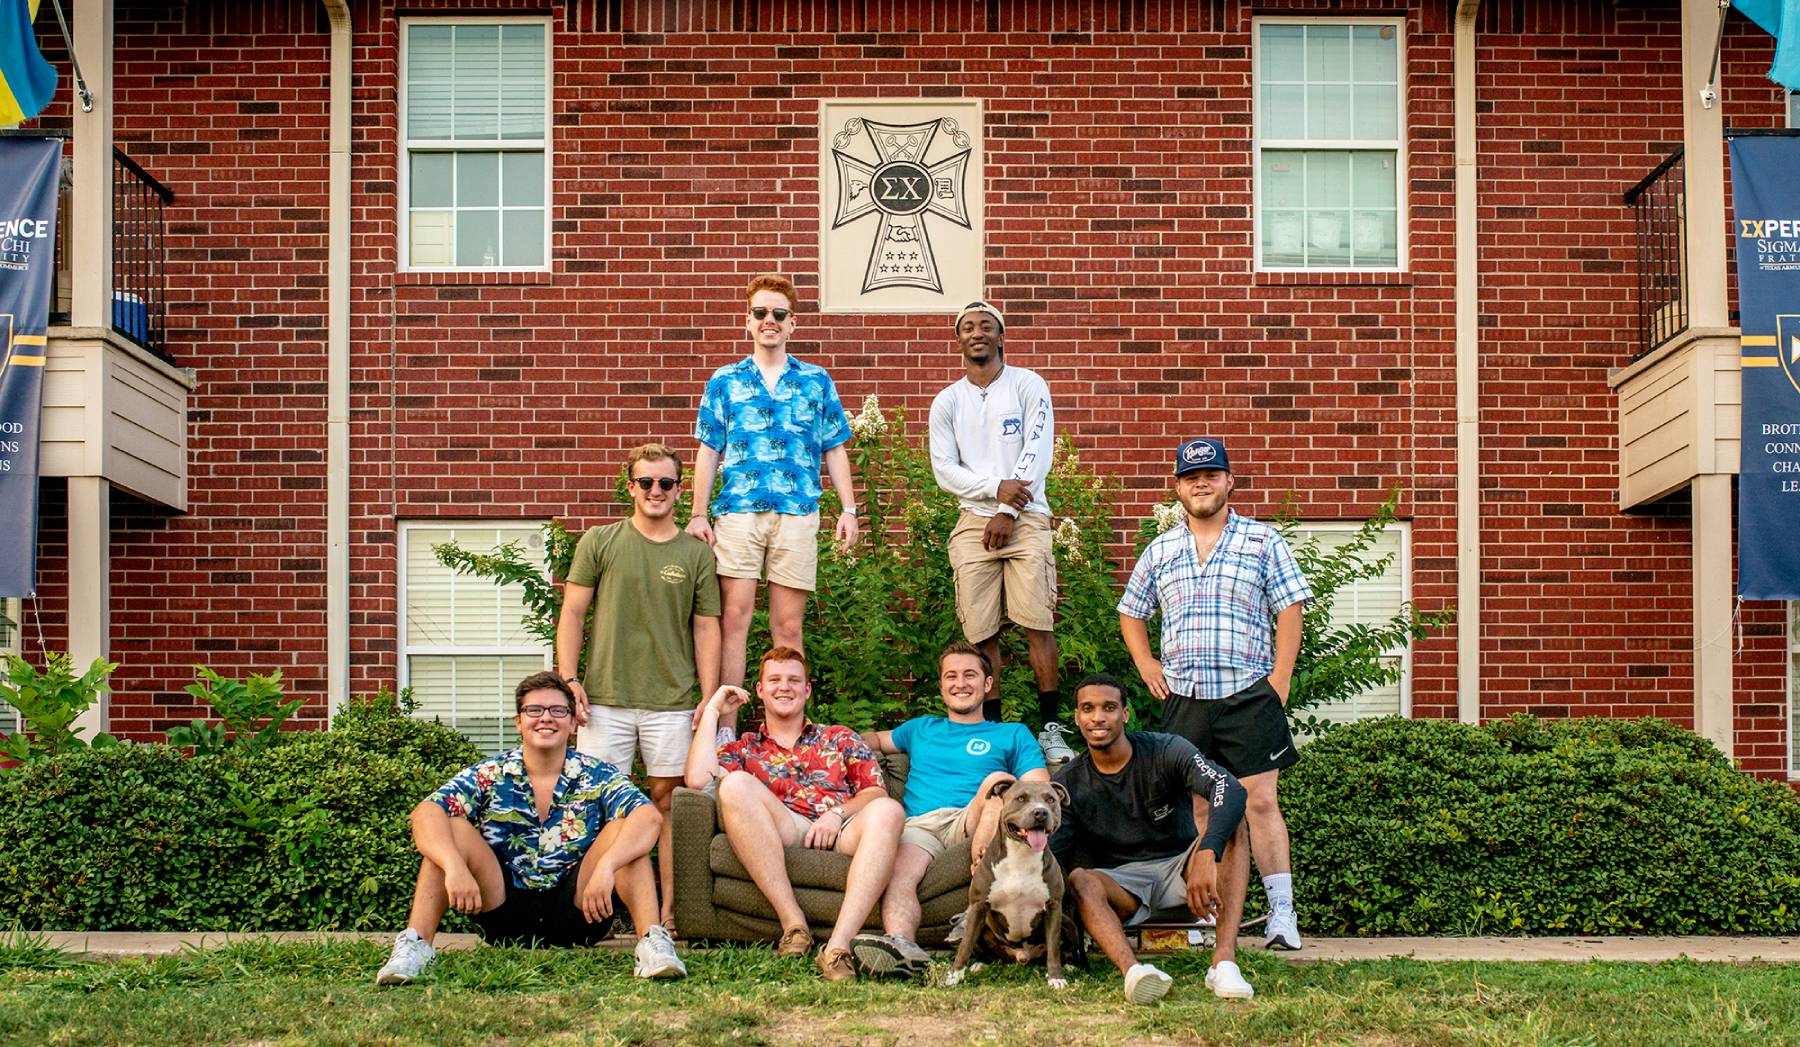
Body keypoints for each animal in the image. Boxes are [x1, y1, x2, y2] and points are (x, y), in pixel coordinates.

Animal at [943, 780, 1080, 993]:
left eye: (1050, 799)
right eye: (1021, 798)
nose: (1040, 812)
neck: (1021, 856)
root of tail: (1021, 956)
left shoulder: (1053, 907)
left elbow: (1054, 947)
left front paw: (1056, 977)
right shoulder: (978, 906)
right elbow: (965, 945)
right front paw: (954, 975)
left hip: (1068, 924)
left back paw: (1068, 965)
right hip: (982, 926)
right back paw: (980, 964)